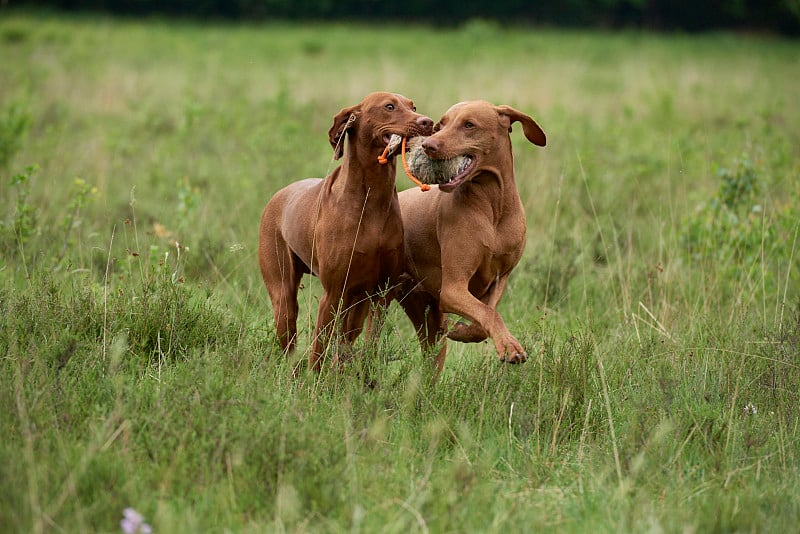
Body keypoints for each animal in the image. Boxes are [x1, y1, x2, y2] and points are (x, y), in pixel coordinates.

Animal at [256, 92, 432, 372]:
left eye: (413, 106)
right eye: (389, 106)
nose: (427, 122)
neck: (371, 198)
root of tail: (278, 195)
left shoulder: (381, 293)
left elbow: (371, 345)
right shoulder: (333, 293)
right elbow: (318, 349)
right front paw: (313, 380)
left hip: (355, 302)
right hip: (284, 298)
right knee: (290, 343)